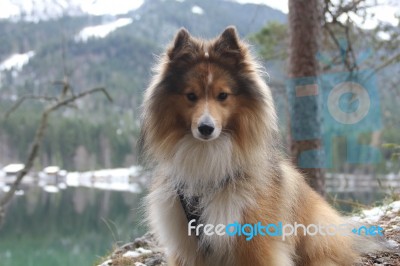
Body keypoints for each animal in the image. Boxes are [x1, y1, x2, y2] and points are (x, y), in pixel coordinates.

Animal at [142, 26, 386, 264]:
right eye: (191, 95)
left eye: (223, 95)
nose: (206, 128)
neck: (208, 155)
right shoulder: (187, 245)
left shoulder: (254, 240)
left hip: (316, 233)